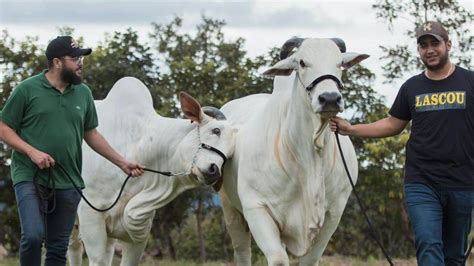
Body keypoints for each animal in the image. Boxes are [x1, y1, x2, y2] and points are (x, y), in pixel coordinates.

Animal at [66, 77, 237, 266]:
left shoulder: (140, 225)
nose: (214, 171)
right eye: (216, 130)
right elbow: (98, 260)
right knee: (74, 248)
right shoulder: (90, 216)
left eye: (230, 154)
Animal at [218, 38, 370, 266]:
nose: (330, 98)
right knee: (242, 252)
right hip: (230, 208)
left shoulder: (333, 215)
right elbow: (278, 259)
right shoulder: (257, 209)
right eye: (302, 62)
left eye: (340, 63)